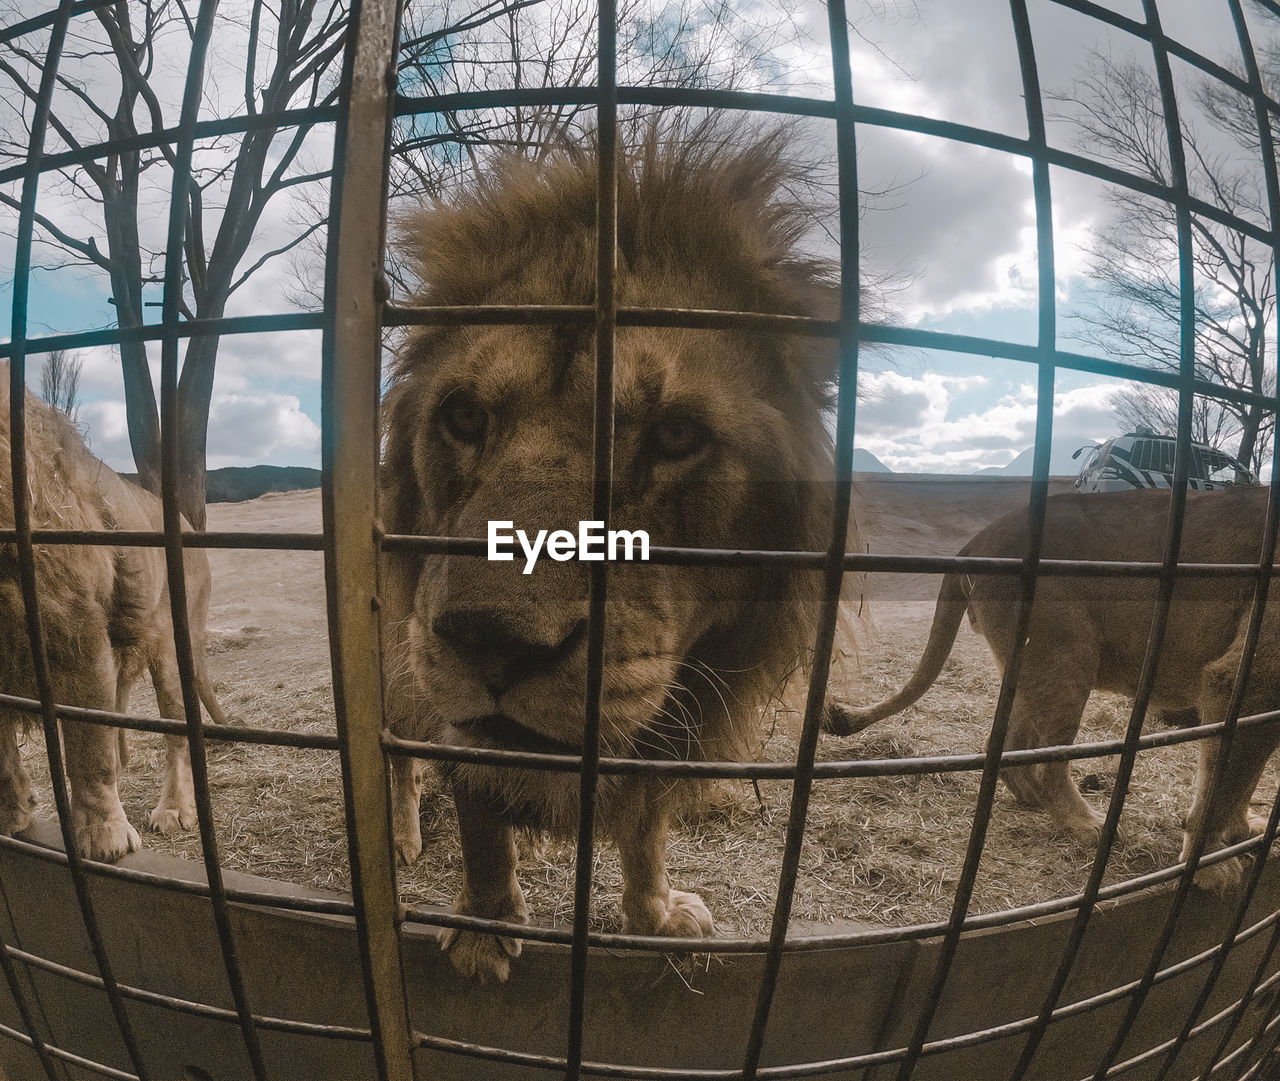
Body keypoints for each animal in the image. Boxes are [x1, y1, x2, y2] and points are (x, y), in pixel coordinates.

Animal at [0, 376, 226, 864]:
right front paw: (13, 815)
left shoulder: (74, 631)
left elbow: (90, 749)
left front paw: (105, 836)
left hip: (173, 650)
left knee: (177, 734)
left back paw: (174, 809)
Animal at [378, 130, 855, 982]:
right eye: (464, 417)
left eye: (674, 434)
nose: (490, 640)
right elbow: (479, 823)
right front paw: (485, 929)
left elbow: (645, 825)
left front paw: (654, 915)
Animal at [824, 486, 1274, 890]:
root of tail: (974, 543)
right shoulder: (1242, 679)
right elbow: (1222, 786)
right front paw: (1211, 866)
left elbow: (1244, 777)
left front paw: (1244, 827)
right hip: (1067, 652)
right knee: (1048, 759)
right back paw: (1084, 823)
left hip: (1034, 663)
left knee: (1008, 743)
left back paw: (1034, 799)